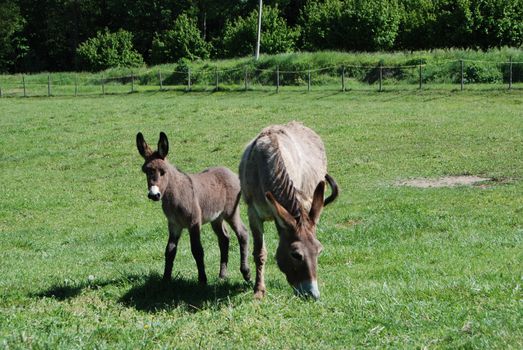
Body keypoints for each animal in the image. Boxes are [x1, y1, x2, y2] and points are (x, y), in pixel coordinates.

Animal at [137, 131, 252, 284]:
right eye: (145, 171)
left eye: (163, 171)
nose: (154, 195)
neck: (176, 194)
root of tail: (229, 171)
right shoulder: (174, 225)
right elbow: (170, 251)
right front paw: (165, 280)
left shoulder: (194, 223)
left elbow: (197, 250)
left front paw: (202, 280)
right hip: (217, 217)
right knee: (224, 238)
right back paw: (222, 275)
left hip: (231, 213)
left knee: (242, 233)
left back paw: (246, 273)